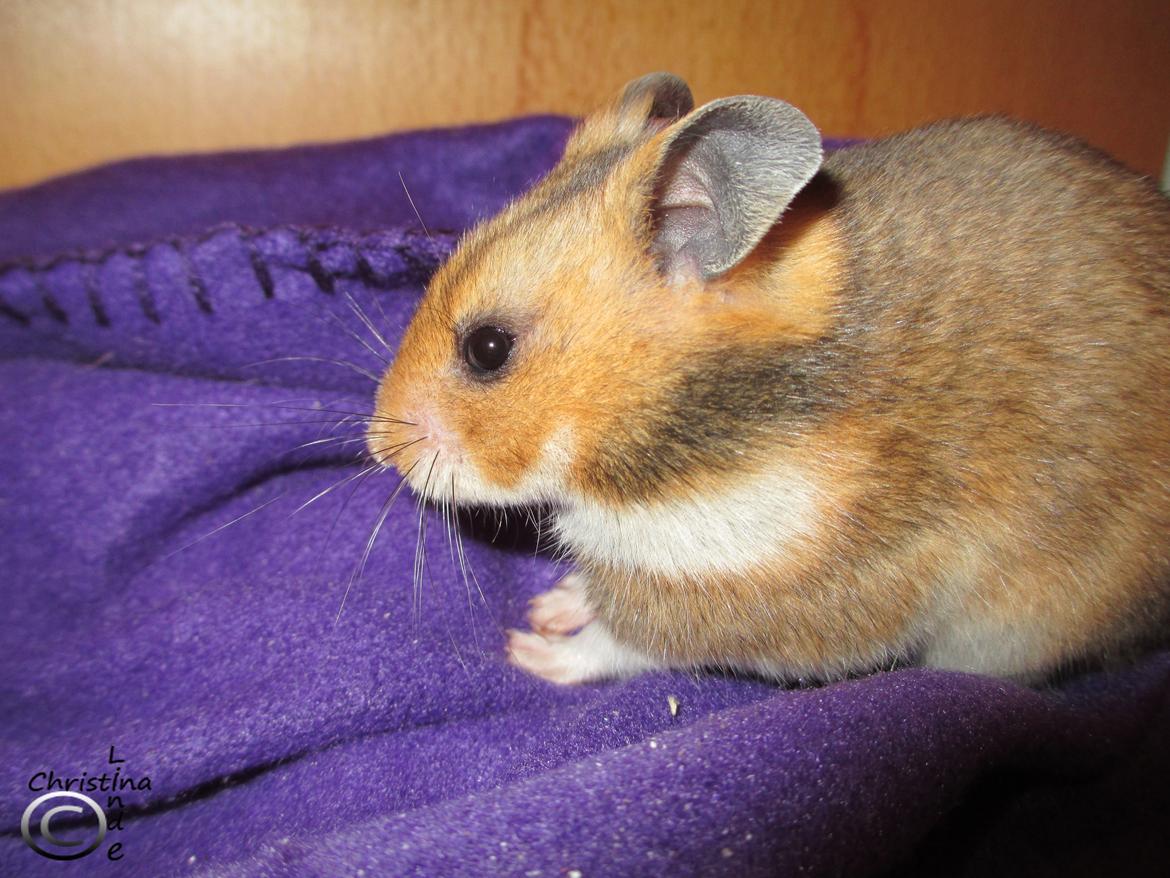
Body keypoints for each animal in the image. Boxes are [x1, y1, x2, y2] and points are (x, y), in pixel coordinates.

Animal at [368, 72, 1170, 685]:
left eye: (488, 348)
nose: (378, 446)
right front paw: (553, 604)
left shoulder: (775, 590)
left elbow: (630, 639)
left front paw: (528, 648)